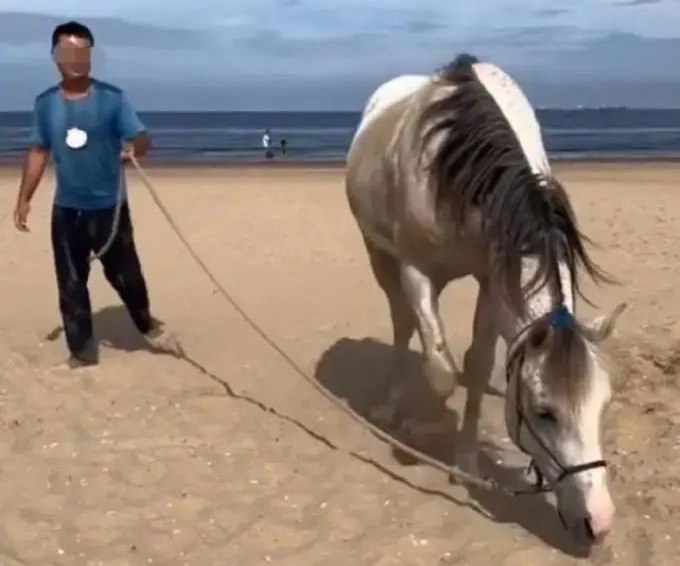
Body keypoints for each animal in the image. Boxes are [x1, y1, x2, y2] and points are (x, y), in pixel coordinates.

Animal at [345, 54, 627, 546]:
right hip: (378, 253)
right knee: (402, 324)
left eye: (605, 403)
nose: (599, 521)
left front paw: (466, 462)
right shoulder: (416, 270)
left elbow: (476, 366)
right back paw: (392, 406)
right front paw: (423, 427)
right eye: (544, 412)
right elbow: (440, 373)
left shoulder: (495, 280)